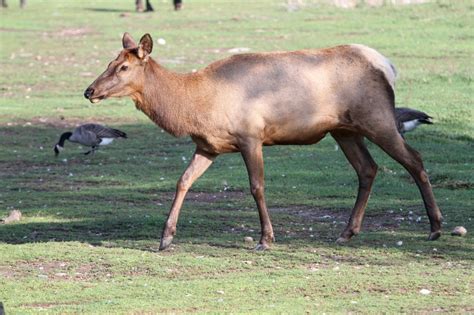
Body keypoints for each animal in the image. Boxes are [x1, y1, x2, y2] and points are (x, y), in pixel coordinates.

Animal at [83, 33, 442, 252]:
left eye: (123, 66)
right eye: (108, 63)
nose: (89, 90)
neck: (196, 105)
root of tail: (387, 66)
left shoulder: (251, 136)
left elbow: (257, 186)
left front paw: (266, 238)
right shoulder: (208, 146)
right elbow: (183, 181)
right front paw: (165, 238)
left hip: (377, 117)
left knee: (414, 159)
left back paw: (435, 227)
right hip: (344, 130)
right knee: (367, 169)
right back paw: (347, 231)